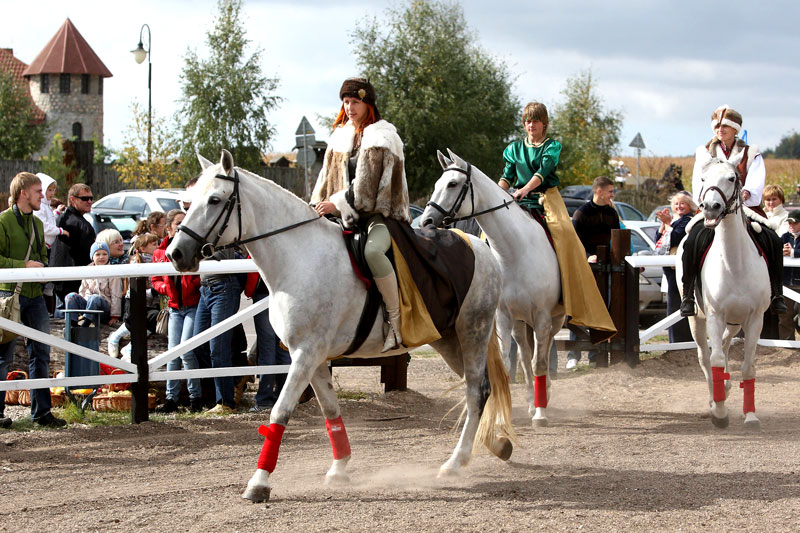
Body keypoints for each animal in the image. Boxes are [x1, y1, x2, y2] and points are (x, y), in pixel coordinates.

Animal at [170, 151, 516, 502]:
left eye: (215, 200)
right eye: (191, 201)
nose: (176, 253)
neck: (300, 257)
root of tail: (481, 248)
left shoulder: (306, 354)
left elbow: (280, 412)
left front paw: (259, 482)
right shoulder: (312, 357)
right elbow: (330, 410)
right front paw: (339, 469)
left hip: (473, 332)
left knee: (476, 390)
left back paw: (456, 463)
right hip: (448, 340)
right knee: (481, 388)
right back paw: (496, 443)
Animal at [418, 149, 564, 424]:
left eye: (452, 184)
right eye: (437, 184)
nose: (427, 221)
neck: (515, 252)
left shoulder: (542, 317)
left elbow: (540, 362)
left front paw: (541, 414)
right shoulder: (504, 316)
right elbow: (508, 363)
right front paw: (503, 416)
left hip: (555, 320)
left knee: (544, 351)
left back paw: (544, 397)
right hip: (519, 322)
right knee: (525, 356)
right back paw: (531, 401)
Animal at [676, 153, 768, 428]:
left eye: (731, 178)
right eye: (703, 178)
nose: (710, 207)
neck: (734, 263)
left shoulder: (755, 318)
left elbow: (748, 366)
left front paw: (751, 415)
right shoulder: (715, 316)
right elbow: (714, 359)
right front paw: (719, 413)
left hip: (736, 321)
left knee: (726, 344)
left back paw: (725, 387)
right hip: (697, 320)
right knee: (705, 356)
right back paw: (714, 397)